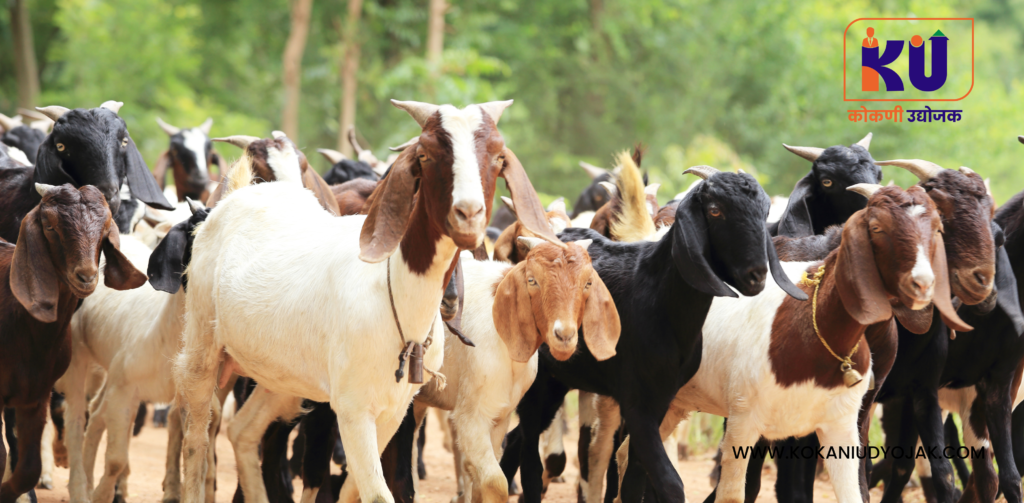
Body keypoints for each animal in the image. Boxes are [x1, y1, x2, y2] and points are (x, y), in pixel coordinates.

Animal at [176, 99, 561, 503]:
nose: (469, 214)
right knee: (197, 439)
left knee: (243, 432)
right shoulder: (352, 408)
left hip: (279, 377)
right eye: (425, 154)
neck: (397, 300)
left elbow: (354, 489)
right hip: (202, 348)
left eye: (498, 156)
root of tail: (236, 196)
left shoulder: (394, 410)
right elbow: (377, 492)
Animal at [501, 163, 806, 501]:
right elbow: (668, 482)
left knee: (515, 441)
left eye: (764, 211)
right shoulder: (637, 402)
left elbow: (635, 476)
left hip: (559, 379)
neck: (660, 298)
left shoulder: (661, 399)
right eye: (715, 210)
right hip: (537, 380)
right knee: (529, 455)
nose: (756, 275)